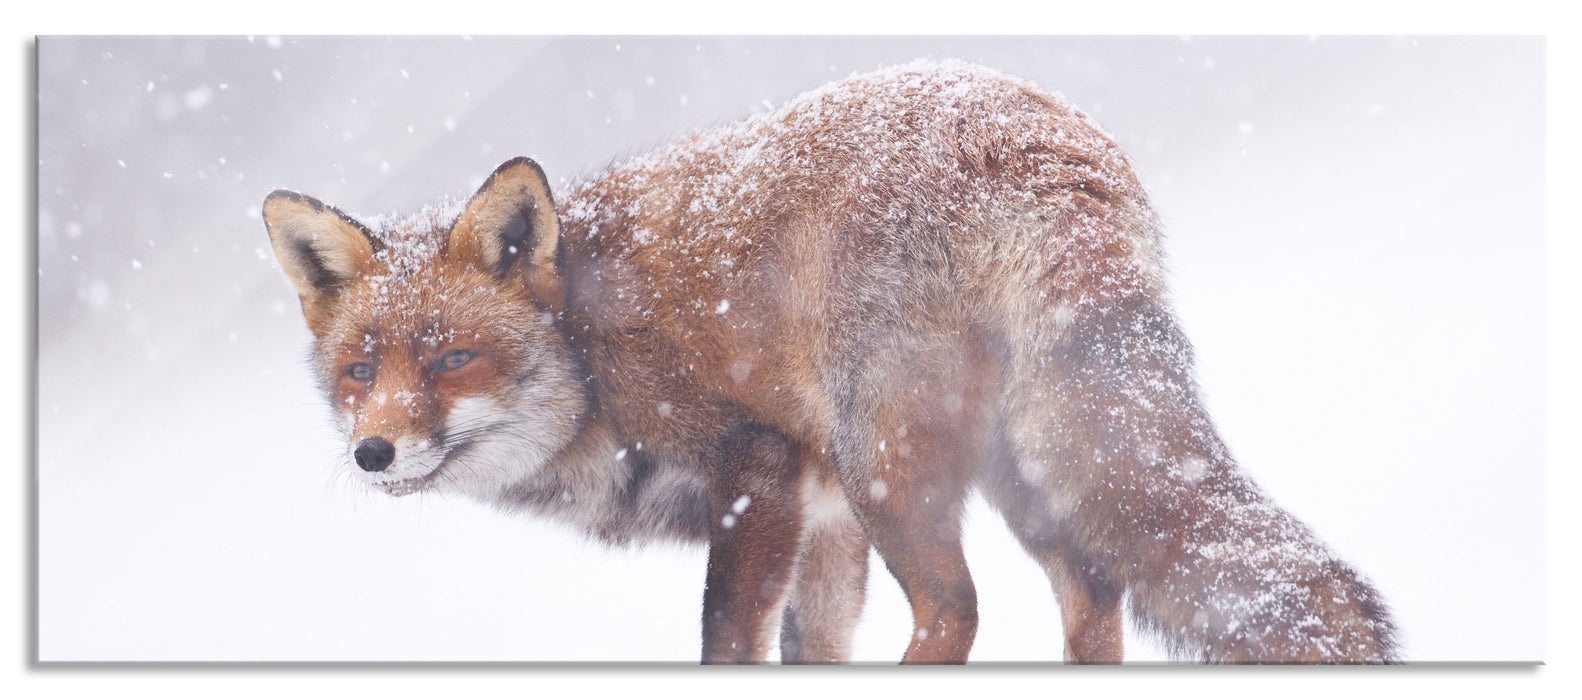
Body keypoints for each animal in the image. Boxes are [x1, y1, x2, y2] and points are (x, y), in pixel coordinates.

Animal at [262, 59, 1397, 664]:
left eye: (454, 358)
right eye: (360, 370)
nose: (372, 451)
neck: (591, 352)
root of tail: (1033, 131)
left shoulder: (757, 475)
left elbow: (728, 646)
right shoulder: (824, 524)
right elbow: (815, 648)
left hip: (889, 458)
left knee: (958, 608)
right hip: (1021, 469)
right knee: (1093, 592)